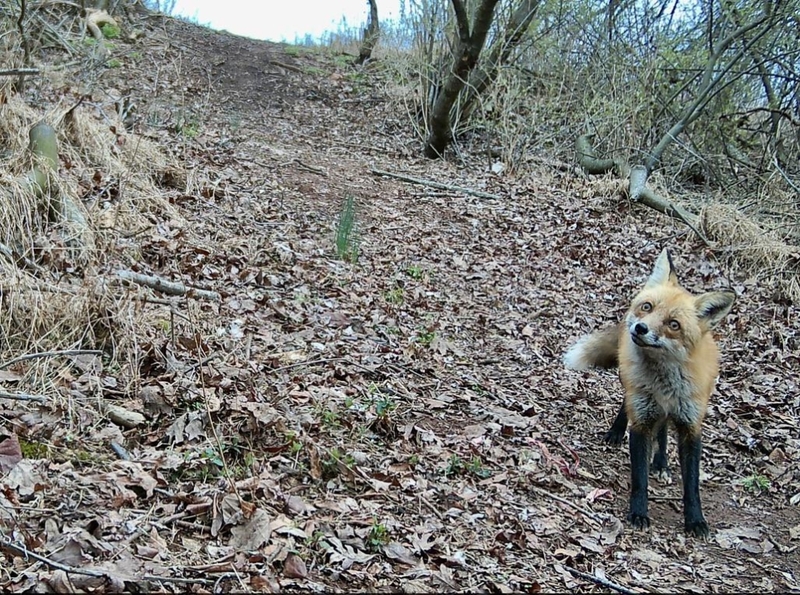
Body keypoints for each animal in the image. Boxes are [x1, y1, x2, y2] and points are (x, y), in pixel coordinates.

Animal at [564, 249, 736, 536]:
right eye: (648, 307)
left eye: (674, 324)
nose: (640, 328)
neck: (664, 383)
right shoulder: (642, 422)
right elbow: (639, 479)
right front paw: (638, 513)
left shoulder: (690, 425)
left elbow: (692, 485)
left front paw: (695, 520)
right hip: (632, 388)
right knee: (628, 407)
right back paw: (616, 433)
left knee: (664, 428)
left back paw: (661, 463)